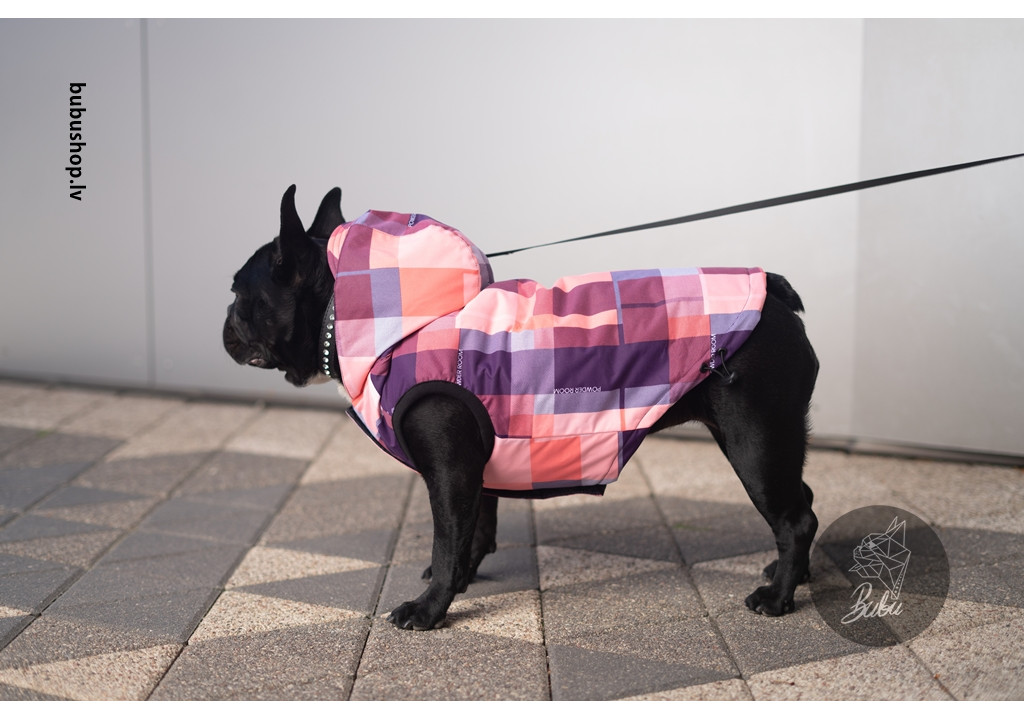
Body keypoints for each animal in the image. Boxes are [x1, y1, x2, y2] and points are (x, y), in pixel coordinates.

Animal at [224, 186, 815, 630]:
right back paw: (790, 574)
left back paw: (778, 597)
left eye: (238, 294)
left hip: (753, 440)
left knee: (795, 518)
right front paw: (461, 580)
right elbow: (473, 529)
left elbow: (447, 538)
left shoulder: (449, 471)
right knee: (801, 498)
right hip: (774, 437)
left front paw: (431, 608)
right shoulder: (476, 464)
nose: (224, 321)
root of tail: (771, 289)